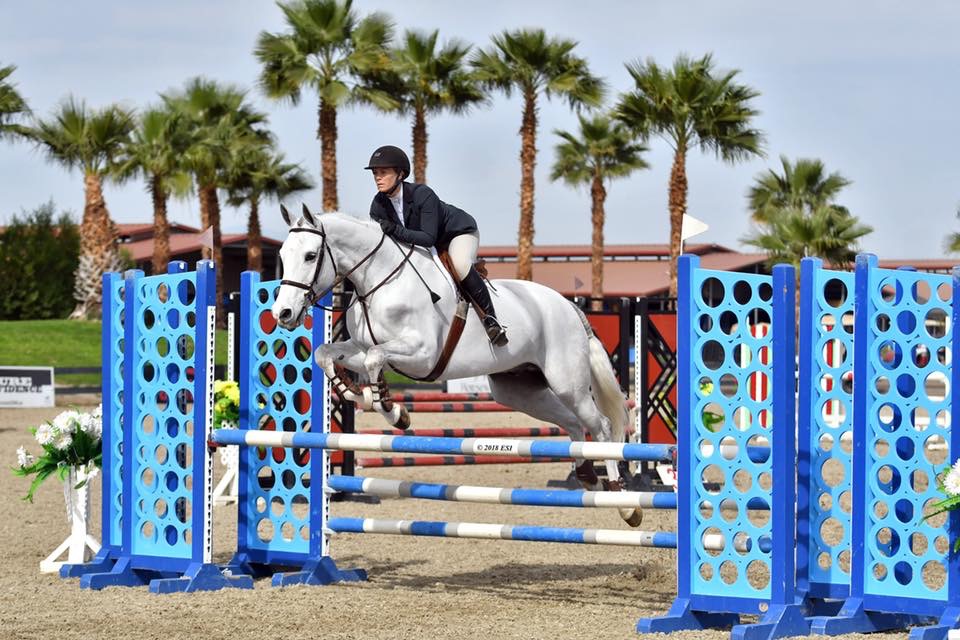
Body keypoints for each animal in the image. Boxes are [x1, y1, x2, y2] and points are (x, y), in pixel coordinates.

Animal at [274, 208, 640, 528]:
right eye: (283, 254)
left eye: (310, 256)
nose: (283, 314)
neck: (379, 282)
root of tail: (569, 306)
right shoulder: (358, 346)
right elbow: (327, 353)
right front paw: (356, 393)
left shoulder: (421, 354)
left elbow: (375, 358)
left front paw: (394, 412)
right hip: (520, 392)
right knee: (574, 424)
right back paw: (587, 477)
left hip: (567, 382)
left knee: (601, 426)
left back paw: (624, 502)